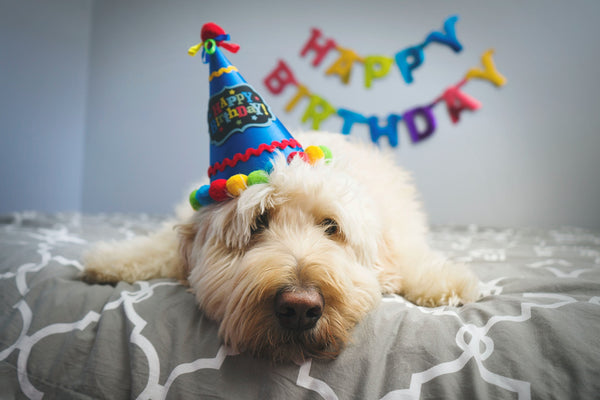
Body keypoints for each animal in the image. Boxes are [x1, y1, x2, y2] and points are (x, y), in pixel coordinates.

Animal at [82, 132, 480, 362]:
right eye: (258, 223)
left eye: (331, 227)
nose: (300, 308)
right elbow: (158, 246)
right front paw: (108, 259)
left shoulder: (399, 237)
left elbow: (413, 261)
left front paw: (449, 282)